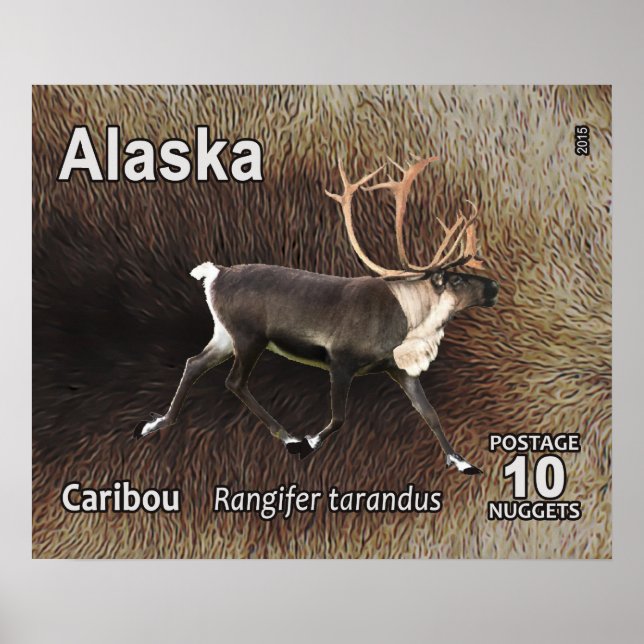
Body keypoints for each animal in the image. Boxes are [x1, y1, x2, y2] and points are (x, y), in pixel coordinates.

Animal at [133, 155, 499, 474]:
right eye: (456, 278)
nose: (494, 286)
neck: (411, 320)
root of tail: (215, 273)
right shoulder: (341, 360)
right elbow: (339, 418)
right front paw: (308, 441)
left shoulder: (399, 369)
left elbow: (430, 413)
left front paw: (463, 462)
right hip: (249, 336)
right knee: (234, 381)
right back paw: (288, 436)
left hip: (224, 334)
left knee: (193, 363)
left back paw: (156, 422)